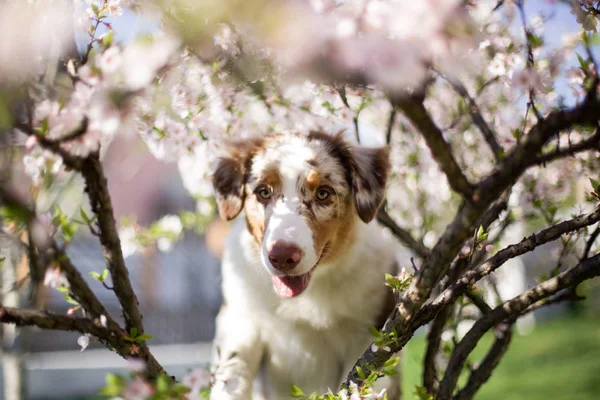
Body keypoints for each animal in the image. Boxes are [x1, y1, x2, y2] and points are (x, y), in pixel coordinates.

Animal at [209, 130, 400, 398]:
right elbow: (233, 372)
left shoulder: (369, 333)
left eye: (323, 193)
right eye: (263, 192)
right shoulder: (240, 316)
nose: (282, 257)